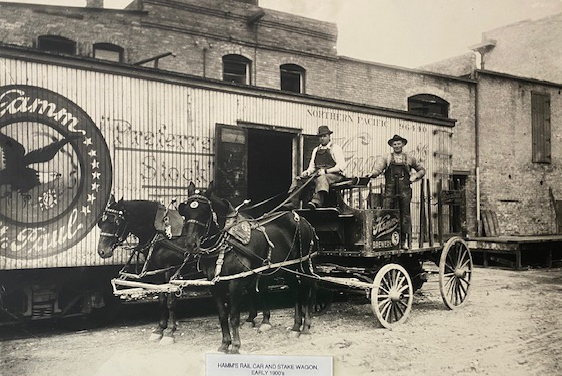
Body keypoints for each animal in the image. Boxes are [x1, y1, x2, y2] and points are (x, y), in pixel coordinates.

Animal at [178, 184, 316, 354]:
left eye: (205, 212)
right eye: (185, 212)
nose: (191, 244)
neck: (227, 241)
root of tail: (302, 219)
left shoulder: (235, 283)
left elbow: (234, 317)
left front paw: (236, 346)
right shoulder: (215, 285)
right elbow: (222, 316)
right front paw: (225, 344)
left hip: (303, 264)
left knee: (309, 287)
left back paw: (305, 328)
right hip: (287, 267)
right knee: (296, 290)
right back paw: (296, 327)